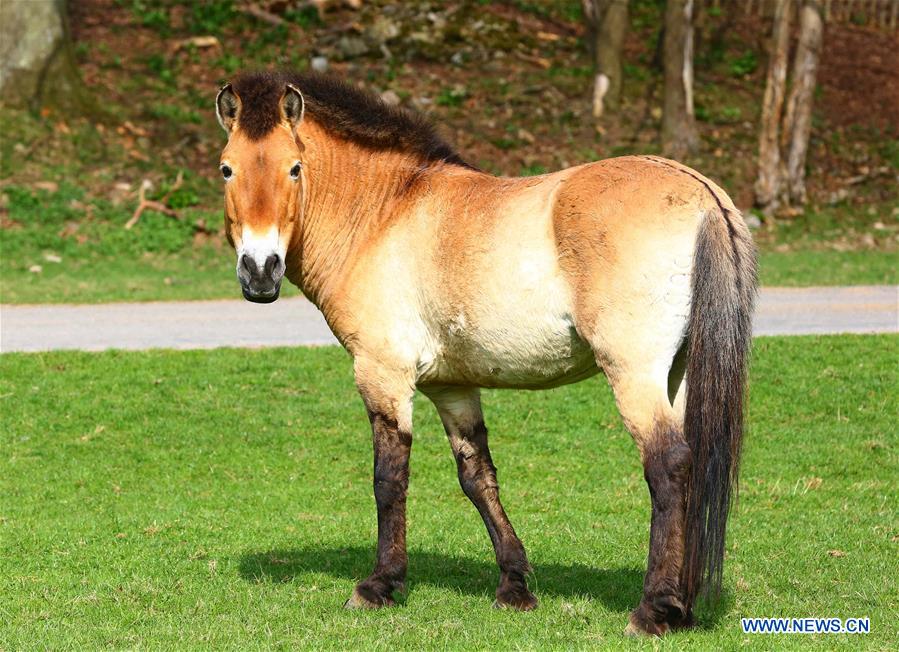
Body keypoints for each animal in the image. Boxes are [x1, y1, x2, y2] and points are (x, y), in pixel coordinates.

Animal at [214, 72, 756, 636]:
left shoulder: (383, 375)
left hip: (635, 374)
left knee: (668, 465)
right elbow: (477, 477)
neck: (384, 213)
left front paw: (379, 586)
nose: (260, 271)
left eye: (293, 168)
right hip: (678, 374)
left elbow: (389, 479)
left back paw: (654, 610)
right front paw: (514, 586)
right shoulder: (452, 387)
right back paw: (682, 605)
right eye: (227, 168)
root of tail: (703, 195)